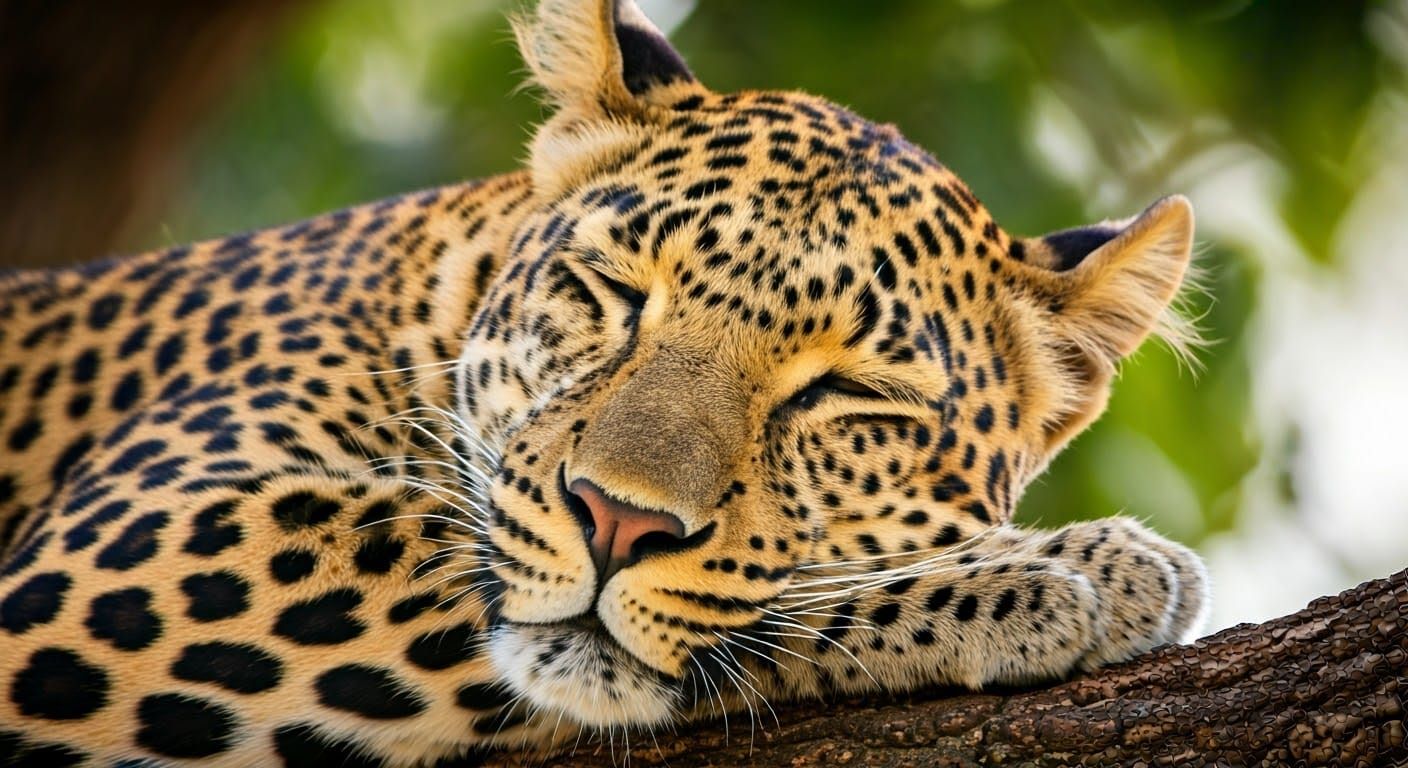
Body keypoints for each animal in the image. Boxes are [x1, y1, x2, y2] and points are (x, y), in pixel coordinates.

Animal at [0, 1, 1210, 764]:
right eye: (615, 291)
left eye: (848, 397)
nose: (618, 523)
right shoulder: (139, 540)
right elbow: (451, 535)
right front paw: (1066, 573)